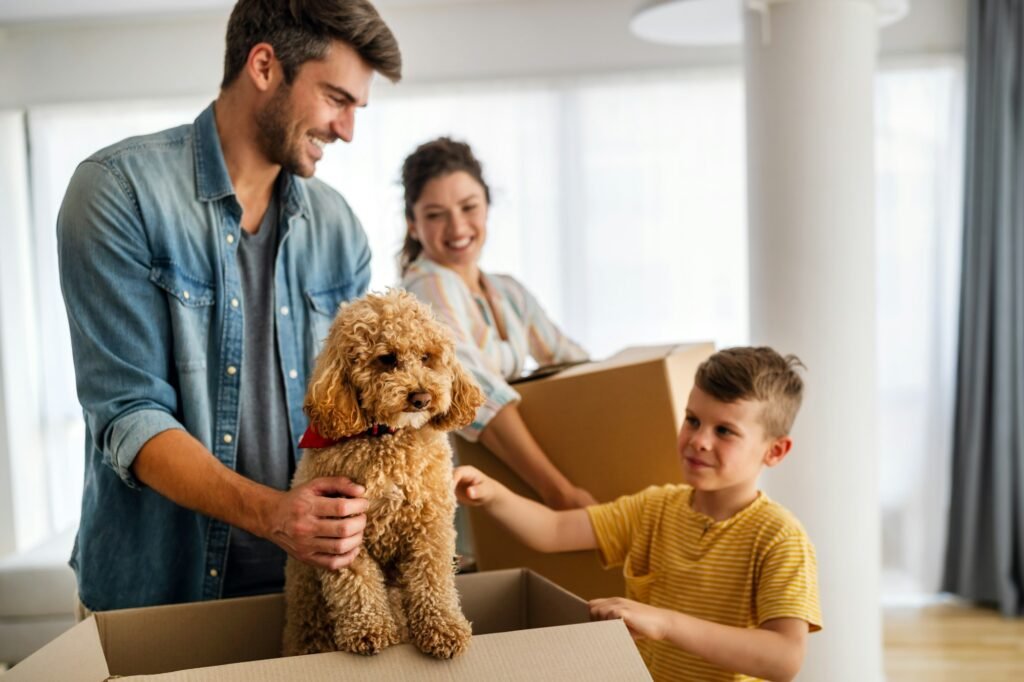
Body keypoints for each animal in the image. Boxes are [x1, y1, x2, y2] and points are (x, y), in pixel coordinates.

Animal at [282, 288, 485, 659]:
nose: (421, 397)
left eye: (427, 357)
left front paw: (443, 629)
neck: (387, 438)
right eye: (387, 359)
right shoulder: (342, 530)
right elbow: (357, 582)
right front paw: (369, 630)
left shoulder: (429, 526)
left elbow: (432, 579)